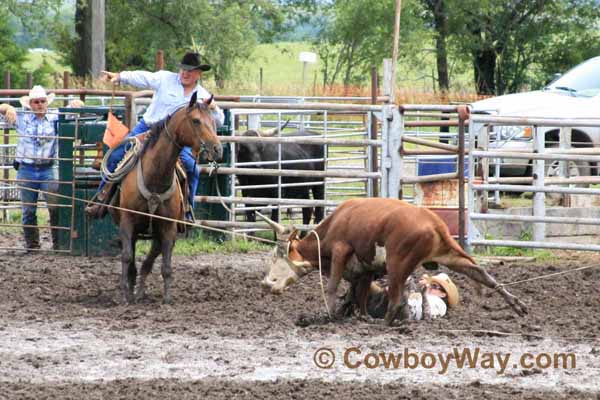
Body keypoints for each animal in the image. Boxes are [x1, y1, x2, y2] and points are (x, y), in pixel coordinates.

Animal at [110, 91, 223, 304]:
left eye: (213, 121)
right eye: (196, 120)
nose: (217, 149)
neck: (155, 175)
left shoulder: (168, 226)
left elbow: (166, 265)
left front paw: (167, 298)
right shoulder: (127, 221)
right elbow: (127, 256)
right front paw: (124, 294)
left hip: (158, 231)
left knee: (151, 258)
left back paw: (140, 291)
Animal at [258, 197, 524, 324]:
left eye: (278, 255)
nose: (266, 284)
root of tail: (433, 223)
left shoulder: (341, 250)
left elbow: (333, 286)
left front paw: (330, 315)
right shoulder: (364, 271)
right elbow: (358, 294)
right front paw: (359, 315)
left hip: (398, 263)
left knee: (396, 301)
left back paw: (385, 323)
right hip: (449, 254)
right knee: (480, 273)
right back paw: (516, 303)